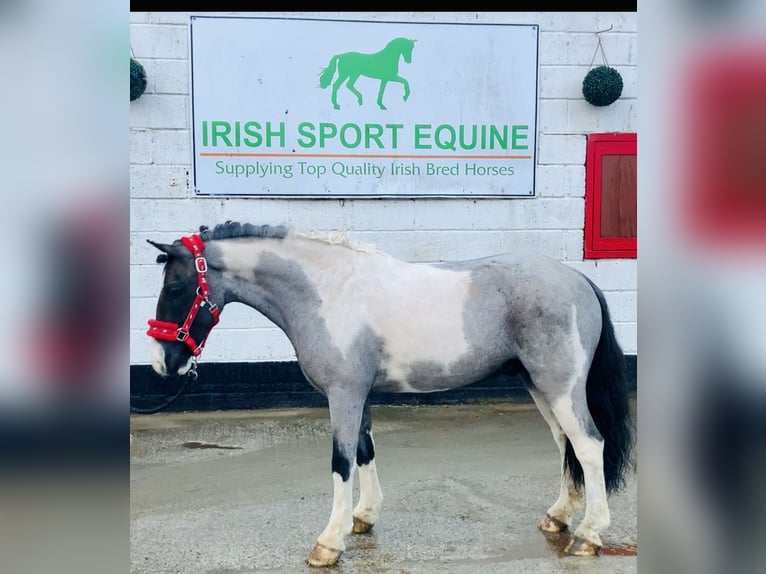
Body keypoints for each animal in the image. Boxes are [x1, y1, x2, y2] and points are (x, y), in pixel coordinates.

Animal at [146, 223, 636, 568]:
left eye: (175, 288)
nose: (162, 364)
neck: (327, 292)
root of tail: (578, 279)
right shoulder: (358, 395)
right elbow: (365, 452)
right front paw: (363, 518)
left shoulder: (343, 394)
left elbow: (341, 462)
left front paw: (329, 543)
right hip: (540, 386)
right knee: (565, 444)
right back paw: (559, 516)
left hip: (560, 387)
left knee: (588, 445)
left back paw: (589, 534)